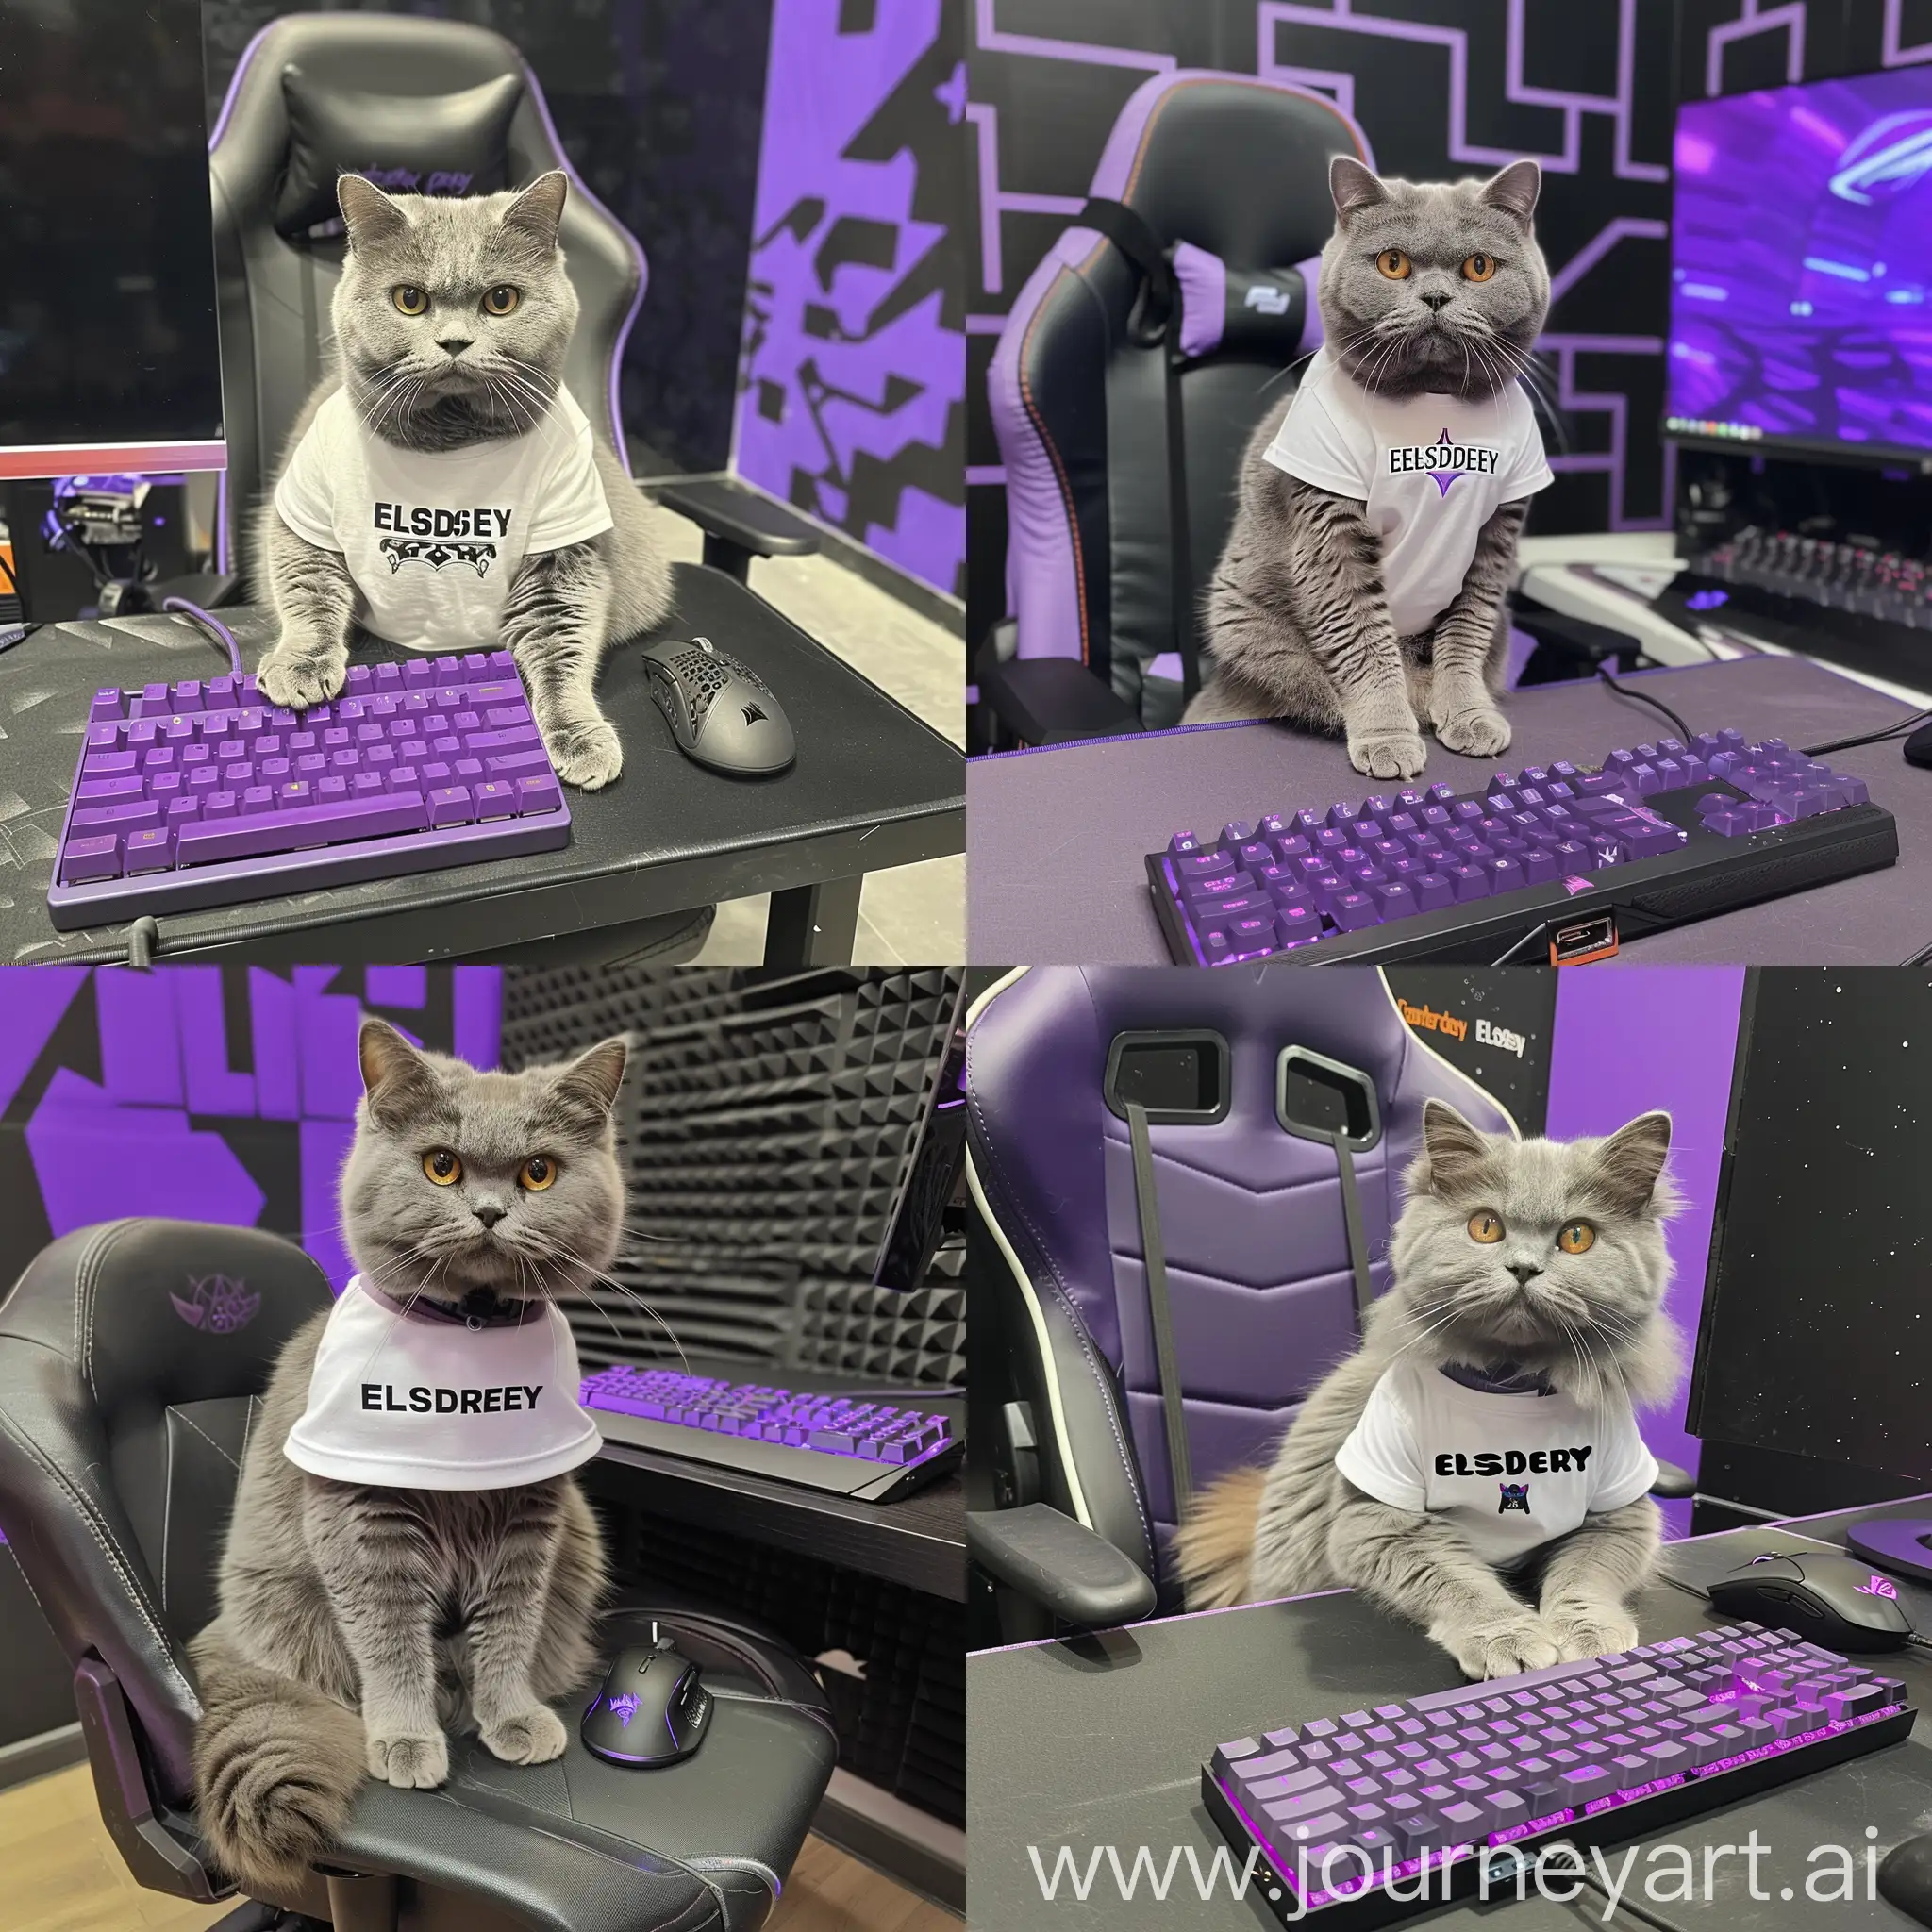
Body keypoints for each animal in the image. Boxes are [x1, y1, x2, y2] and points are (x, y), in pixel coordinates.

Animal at [190, 1020, 625, 1893]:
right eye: (442, 1165)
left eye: (539, 1172)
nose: (489, 1211)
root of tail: (226, 1637)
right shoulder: (362, 1524)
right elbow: (389, 1638)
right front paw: (404, 1738)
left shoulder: (533, 1520)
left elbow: (510, 1628)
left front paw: (511, 1716)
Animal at [249, 170, 675, 788]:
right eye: (410, 299)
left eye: (501, 300)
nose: (454, 342)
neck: (451, 436)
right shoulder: (301, 513)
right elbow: (308, 590)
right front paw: (300, 668)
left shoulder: (566, 553)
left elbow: (560, 641)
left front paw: (580, 738)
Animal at [1166, 1112, 1684, 1684]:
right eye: (1486, 1227)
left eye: (1576, 1237)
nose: (1524, 1268)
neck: (1509, 1383)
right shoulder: (1377, 1522)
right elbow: (1461, 1584)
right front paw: (1509, 1639)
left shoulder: (1620, 1513)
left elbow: (1585, 1577)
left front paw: (1591, 1635)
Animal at [1190, 158, 1553, 776]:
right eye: (1393, 263)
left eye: (1479, 267)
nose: (1435, 297)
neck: (1432, 399)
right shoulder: (1329, 525)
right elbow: (1362, 638)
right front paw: (1388, 736)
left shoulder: (1495, 535)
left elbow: (1467, 632)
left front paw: (1468, 714)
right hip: (1247, 624)